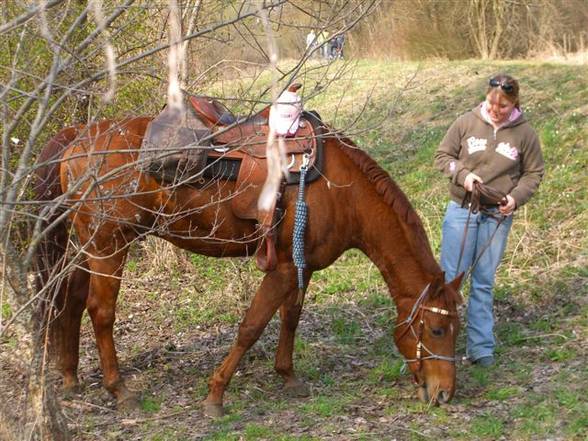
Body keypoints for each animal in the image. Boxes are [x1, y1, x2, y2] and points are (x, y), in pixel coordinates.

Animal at [33, 111, 464, 414]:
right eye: (438, 330)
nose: (445, 393)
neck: (342, 191)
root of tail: (80, 137)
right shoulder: (283, 269)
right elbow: (251, 327)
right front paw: (216, 395)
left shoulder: (301, 265)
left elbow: (290, 319)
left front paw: (287, 376)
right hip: (109, 246)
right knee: (101, 312)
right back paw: (120, 390)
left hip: (90, 247)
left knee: (70, 299)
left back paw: (70, 376)